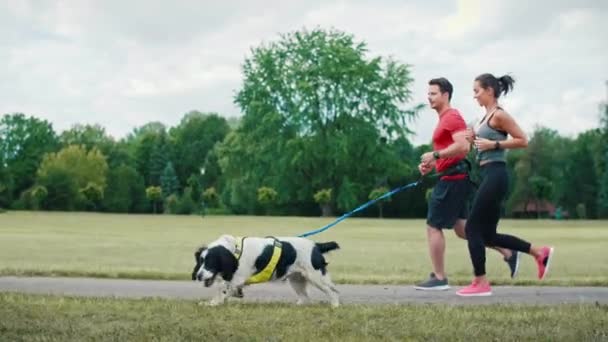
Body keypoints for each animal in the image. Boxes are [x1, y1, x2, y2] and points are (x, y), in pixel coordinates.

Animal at [192, 235, 340, 308]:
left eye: (210, 263)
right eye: (200, 261)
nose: (198, 276)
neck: (234, 249)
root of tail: (316, 245)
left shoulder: (238, 278)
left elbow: (222, 288)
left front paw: (212, 303)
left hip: (316, 277)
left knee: (332, 291)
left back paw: (335, 305)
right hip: (296, 279)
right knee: (305, 298)